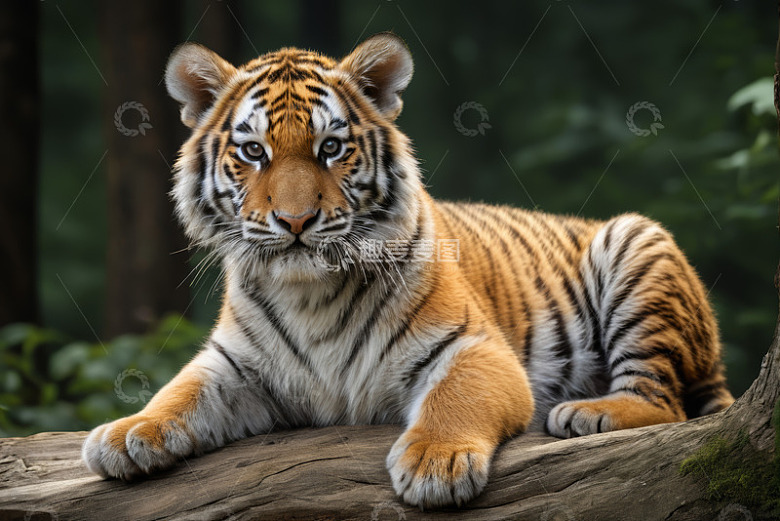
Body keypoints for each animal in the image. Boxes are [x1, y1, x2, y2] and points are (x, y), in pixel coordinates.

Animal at [82, 32, 735, 508]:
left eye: (330, 148)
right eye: (253, 152)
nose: (295, 220)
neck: (308, 292)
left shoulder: (475, 347)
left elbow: (454, 398)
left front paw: (435, 463)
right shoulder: (235, 366)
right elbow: (179, 391)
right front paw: (128, 432)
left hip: (637, 244)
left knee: (665, 402)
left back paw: (591, 411)